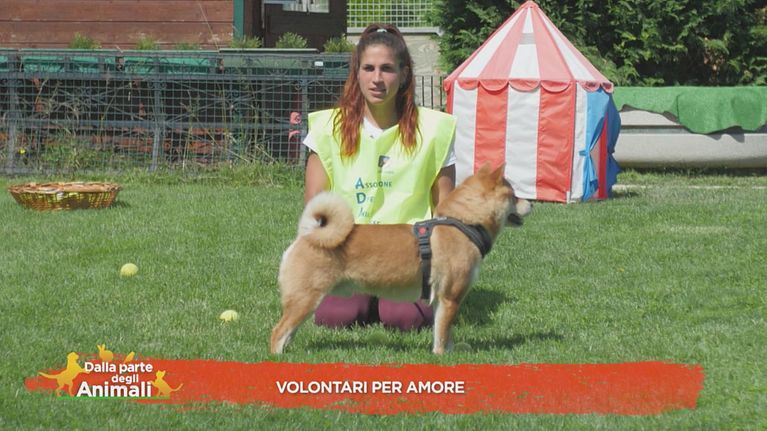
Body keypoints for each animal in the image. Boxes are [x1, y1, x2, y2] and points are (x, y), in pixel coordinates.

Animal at [271, 164, 526, 354]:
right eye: (514, 196)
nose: (530, 203)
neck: (465, 223)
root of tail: (307, 235)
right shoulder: (451, 297)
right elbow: (443, 335)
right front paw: (442, 358)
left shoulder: (440, 300)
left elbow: (442, 332)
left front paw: (447, 353)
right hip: (306, 299)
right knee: (278, 331)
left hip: (304, 302)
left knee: (288, 332)